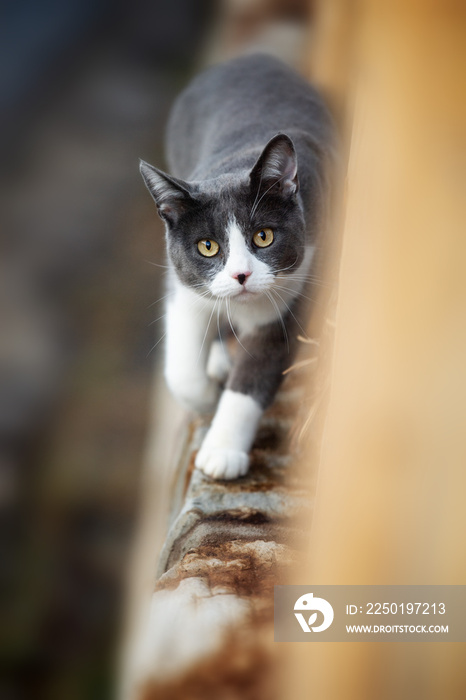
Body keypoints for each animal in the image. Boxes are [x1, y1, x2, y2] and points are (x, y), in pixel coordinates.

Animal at [140, 53, 334, 482]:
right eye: (207, 246)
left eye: (263, 237)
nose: (240, 275)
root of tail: (248, 57)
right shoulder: (183, 284)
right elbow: (183, 369)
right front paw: (207, 399)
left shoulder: (298, 288)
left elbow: (256, 370)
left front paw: (221, 452)